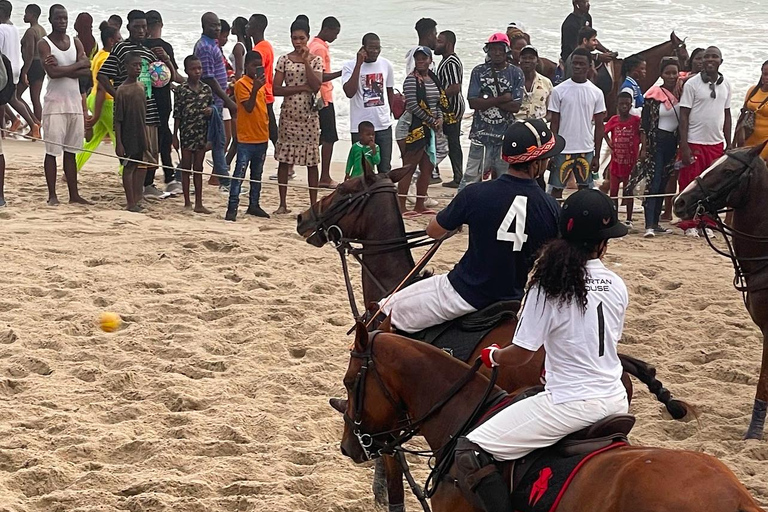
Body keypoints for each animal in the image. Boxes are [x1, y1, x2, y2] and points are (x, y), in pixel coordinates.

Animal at [296, 168, 688, 508]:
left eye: (344, 190)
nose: (303, 219)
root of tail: (620, 363)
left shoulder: (392, 414)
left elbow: (392, 479)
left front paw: (378, 487)